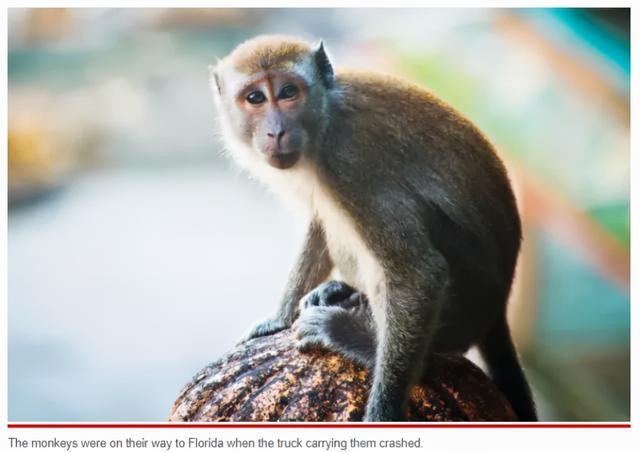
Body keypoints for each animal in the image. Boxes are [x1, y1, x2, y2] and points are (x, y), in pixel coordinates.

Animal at [209, 35, 536, 424]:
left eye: (289, 92)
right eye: (255, 98)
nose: (276, 130)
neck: (325, 121)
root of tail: (498, 309)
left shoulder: (350, 163)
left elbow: (417, 273)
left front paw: (384, 410)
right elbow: (320, 222)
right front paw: (279, 318)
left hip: (465, 300)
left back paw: (354, 337)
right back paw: (343, 293)